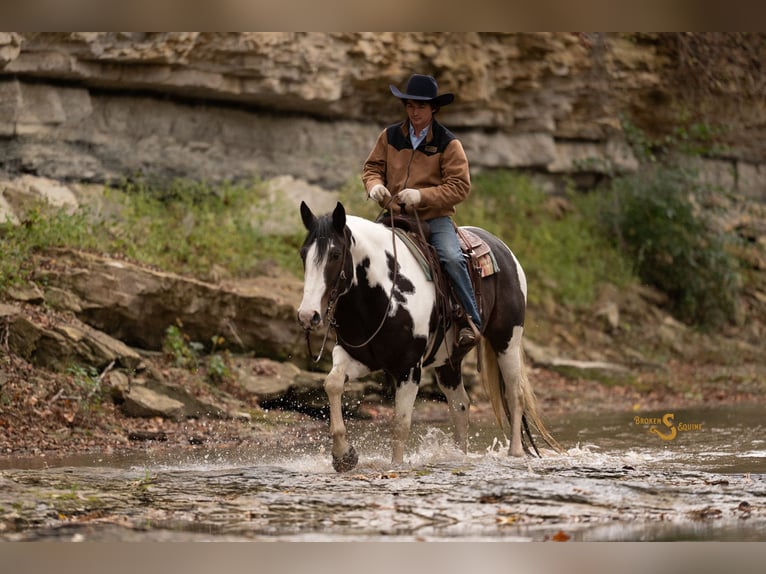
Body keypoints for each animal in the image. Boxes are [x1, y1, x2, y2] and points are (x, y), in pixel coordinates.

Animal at [297, 201, 560, 472]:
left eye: (335, 254)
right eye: (303, 254)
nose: (308, 315)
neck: (382, 293)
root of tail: (503, 248)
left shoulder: (409, 367)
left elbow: (401, 423)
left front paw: (396, 465)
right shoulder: (358, 357)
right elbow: (333, 383)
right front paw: (343, 455)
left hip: (507, 341)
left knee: (514, 394)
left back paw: (515, 453)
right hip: (449, 362)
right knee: (460, 406)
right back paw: (458, 456)